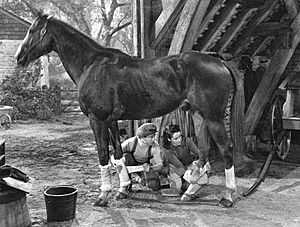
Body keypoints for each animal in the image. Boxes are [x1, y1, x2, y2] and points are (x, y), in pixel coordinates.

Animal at [15, 12, 244, 207]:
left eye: (33, 30)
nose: (19, 57)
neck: (91, 64)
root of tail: (219, 61)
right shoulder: (111, 120)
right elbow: (117, 155)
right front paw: (123, 189)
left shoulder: (96, 119)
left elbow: (102, 155)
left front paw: (103, 196)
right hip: (199, 116)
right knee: (204, 151)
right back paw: (190, 192)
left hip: (213, 118)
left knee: (226, 150)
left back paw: (228, 196)